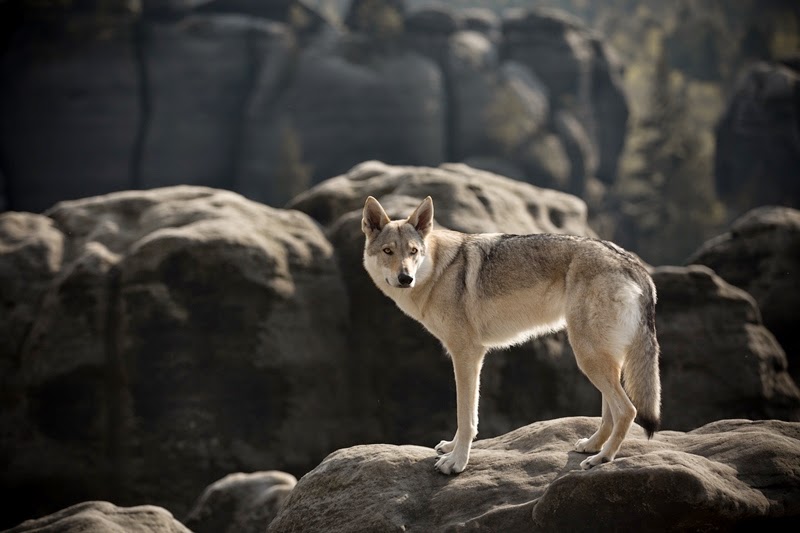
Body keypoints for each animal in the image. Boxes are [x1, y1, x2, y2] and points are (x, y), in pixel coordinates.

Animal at [364, 194, 664, 474]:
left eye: (413, 251)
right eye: (388, 251)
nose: (405, 278)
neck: (439, 270)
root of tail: (634, 263)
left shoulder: (467, 354)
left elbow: (465, 416)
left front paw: (456, 462)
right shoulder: (470, 357)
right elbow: (468, 415)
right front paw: (451, 448)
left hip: (588, 357)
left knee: (628, 410)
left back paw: (602, 458)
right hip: (599, 357)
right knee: (610, 412)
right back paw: (592, 445)